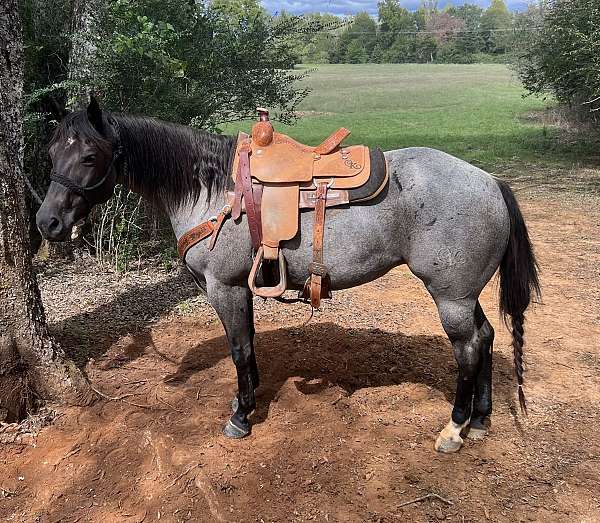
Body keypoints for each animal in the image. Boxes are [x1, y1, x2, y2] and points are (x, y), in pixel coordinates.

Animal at [36, 99, 540, 454]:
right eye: (51, 152)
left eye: (89, 156)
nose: (47, 223)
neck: (213, 190)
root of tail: (491, 182)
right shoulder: (238, 288)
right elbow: (248, 345)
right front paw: (249, 397)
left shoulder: (224, 287)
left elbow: (239, 349)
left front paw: (241, 416)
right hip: (464, 294)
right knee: (487, 336)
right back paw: (480, 421)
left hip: (450, 296)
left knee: (469, 349)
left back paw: (454, 428)